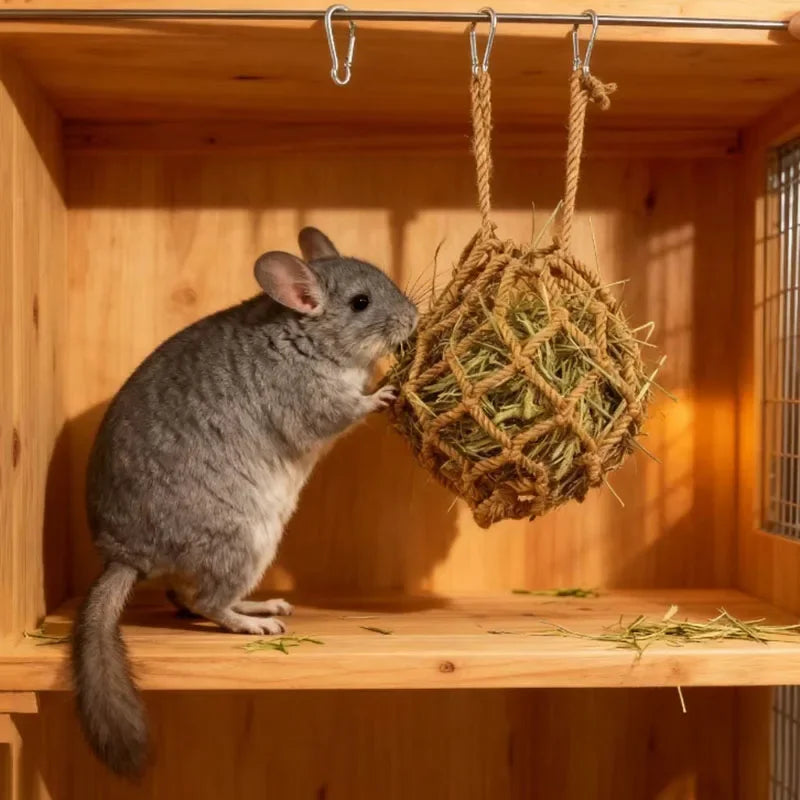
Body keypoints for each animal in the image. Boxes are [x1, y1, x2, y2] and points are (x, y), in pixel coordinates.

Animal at [72, 227, 418, 777]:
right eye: (361, 302)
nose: (415, 317)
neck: (304, 334)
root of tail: (123, 556)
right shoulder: (310, 401)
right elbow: (347, 409)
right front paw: (385, 393)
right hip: (246, 536)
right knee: (205, 602)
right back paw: (258, 624)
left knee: (187, 597)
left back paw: (263, 604)